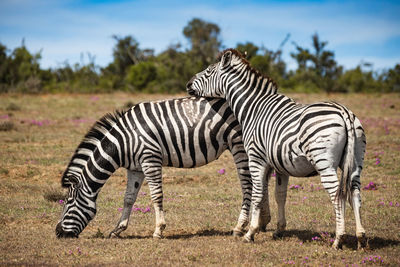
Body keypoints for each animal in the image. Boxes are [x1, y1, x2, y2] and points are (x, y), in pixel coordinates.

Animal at [56, 97, 276, 241]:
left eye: (68, 202)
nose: (58, 233)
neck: (123, 141)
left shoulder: (150, 158)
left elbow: (156, 195)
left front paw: (158, 230)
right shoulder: (135, 168)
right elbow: (128, 198)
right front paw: (118, 229)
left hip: (239, 145)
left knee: (249, 186)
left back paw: (240, 227)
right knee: (261, 181)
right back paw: (262, 222)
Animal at [186, 48, 368, 251]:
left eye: (209, 71)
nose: (187, 84)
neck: (253, 109)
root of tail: (344, 112)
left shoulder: (256, 159)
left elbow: (257, 195)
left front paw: (250, 233)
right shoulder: (281, 164)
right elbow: (280, 196)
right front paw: (279, 230)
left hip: (324, 162)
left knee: (338, 196)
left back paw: (338, 239)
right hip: (355, 162)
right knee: (355, 192)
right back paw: (361, 238)